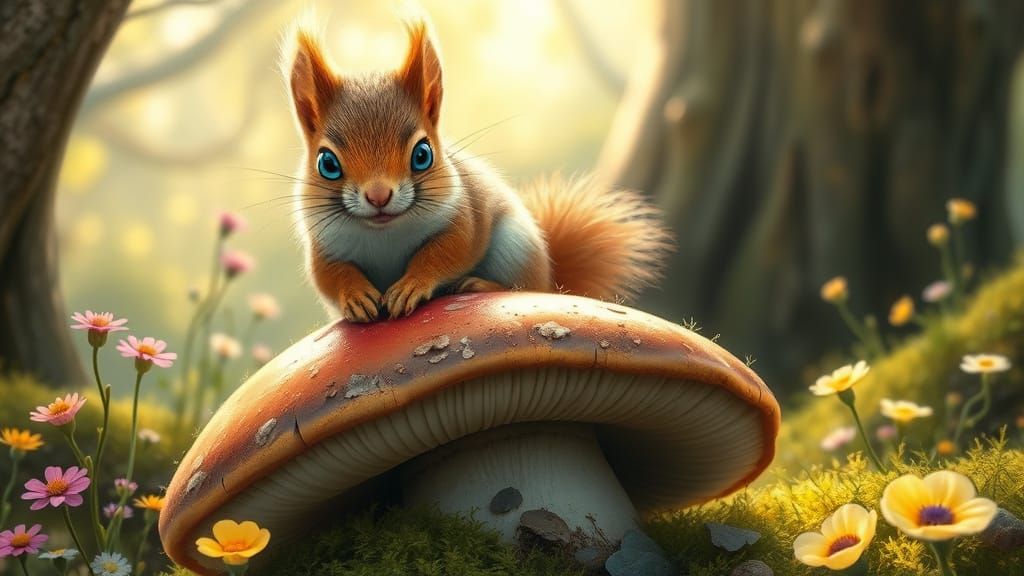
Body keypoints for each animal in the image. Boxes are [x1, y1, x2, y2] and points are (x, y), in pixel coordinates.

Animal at [282, 18, 672, 322]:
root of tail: (552, 280)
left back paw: (481, 285)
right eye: (327, 163)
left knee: (525, 288)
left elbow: (446, 251)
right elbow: (330, 275)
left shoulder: (463, 214)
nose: (379, 196)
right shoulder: (323, 245)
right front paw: (355, 297)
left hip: (516, 246)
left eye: (422, 154)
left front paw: (410, 285)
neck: (384, 233)